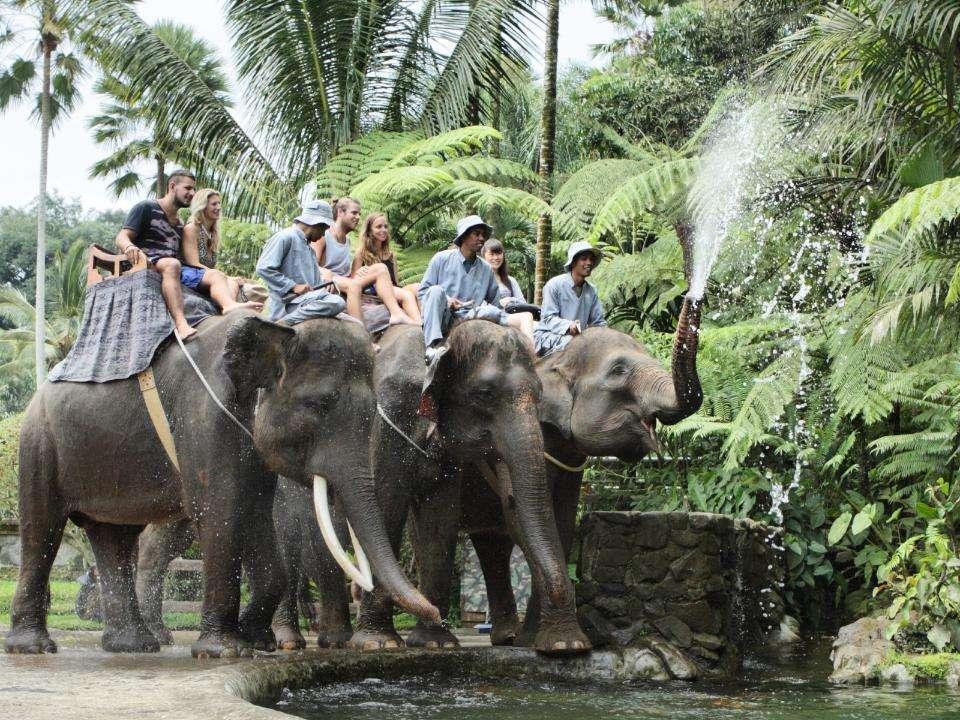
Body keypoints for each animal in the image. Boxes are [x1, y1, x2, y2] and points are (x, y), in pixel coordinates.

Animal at [4, 312, 440, 657]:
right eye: (319, 405)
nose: (436, 610)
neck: (275, 329)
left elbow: (258, 517)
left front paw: (253, 639)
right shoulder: (203, 417)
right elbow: (220, 512)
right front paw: (223, 650)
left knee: (114, 537)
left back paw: (132, 646)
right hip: (38, 444)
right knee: (42, 529)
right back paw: (33, 648)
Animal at [345, 320, 592, 655]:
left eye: (539, 394)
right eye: (485, 394)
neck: (439, 346)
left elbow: (439, 521)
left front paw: (435, 643)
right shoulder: (384, 418)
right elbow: (385, 505)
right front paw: (378, 643)